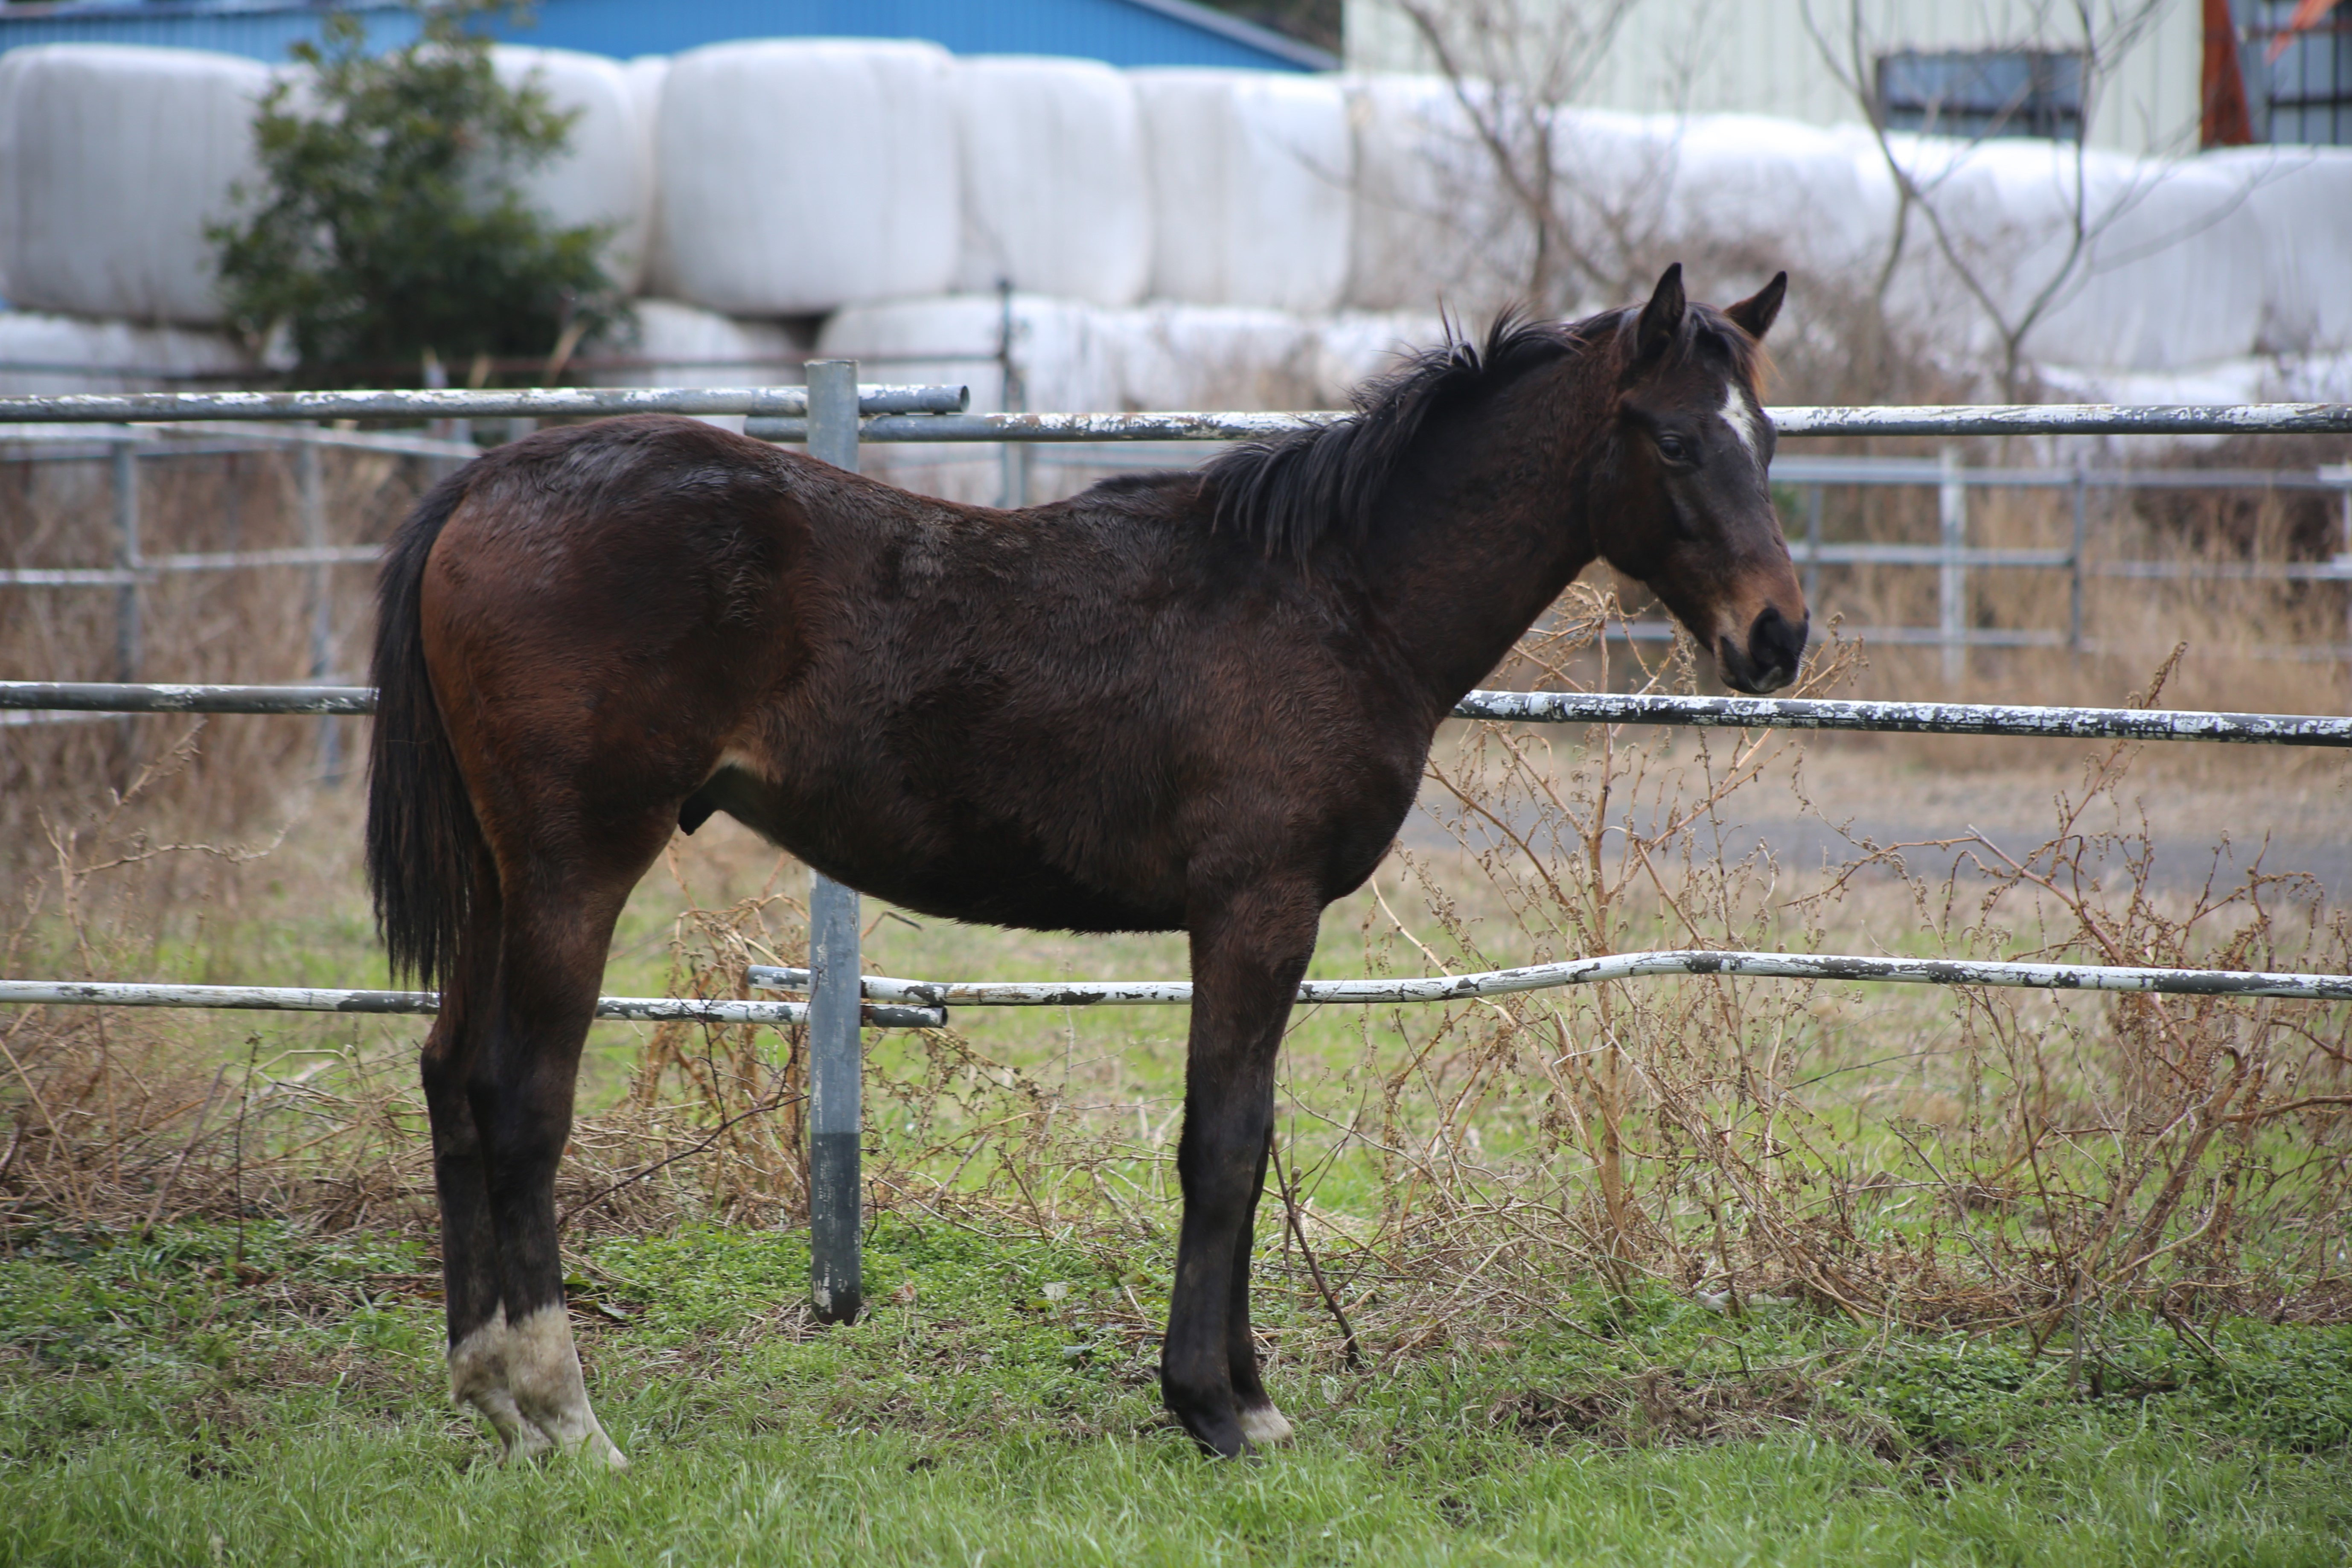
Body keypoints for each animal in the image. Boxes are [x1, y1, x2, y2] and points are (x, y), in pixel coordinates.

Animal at [362, 267, 1797, 1457]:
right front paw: (1218, 1405)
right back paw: (565, 1411)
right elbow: (1224, 1143)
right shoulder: (1254, 910)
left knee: (450, 1077)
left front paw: (1240, 1391)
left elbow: (1246, 1137)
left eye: (1770, 439)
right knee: (522, 1100)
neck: (1335, 597)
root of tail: (489, 483)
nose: (1777, 635)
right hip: (573, 868)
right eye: (1675, 438)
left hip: (498, 876)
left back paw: (490, 1395)